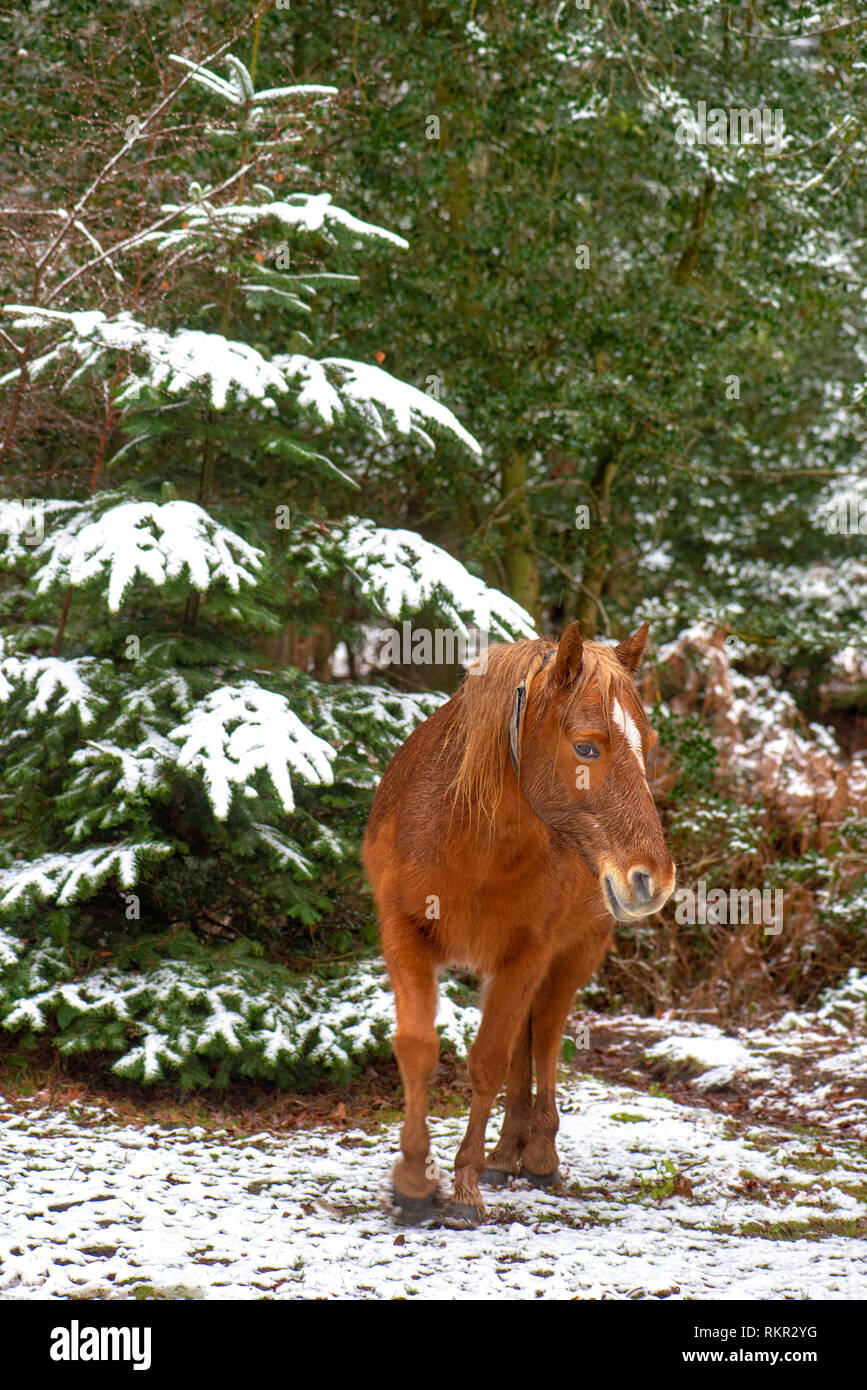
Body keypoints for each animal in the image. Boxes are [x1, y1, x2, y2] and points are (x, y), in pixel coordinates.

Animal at [361, 622, 675, 1228]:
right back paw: (508, 1153)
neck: (468, 843)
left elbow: (488, 1061)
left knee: (546, 1035)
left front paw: (463, 1185)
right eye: (586, 747)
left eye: (647, 747)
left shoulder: (527, 953)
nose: (654, 879)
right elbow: (418, 1047)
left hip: (576, 951)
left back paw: (539, 1155)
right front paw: (413, 1182)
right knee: (527, 1042)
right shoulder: (404, 936)